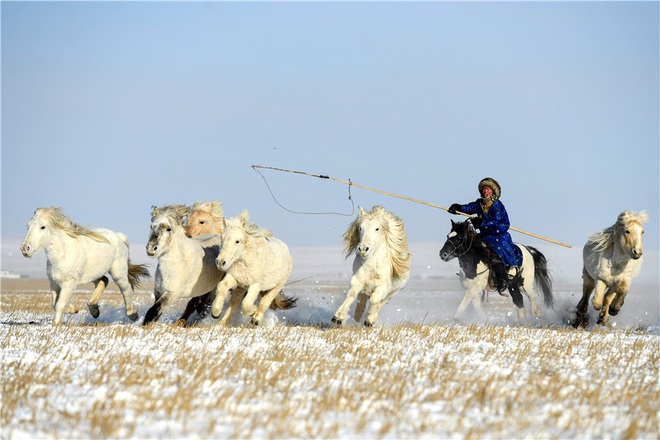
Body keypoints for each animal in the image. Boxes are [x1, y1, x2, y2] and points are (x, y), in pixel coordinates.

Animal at [21, 206, 150, 324]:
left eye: (42, 227)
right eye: (28, 226)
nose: (25, 248)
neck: (63, 253)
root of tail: (119, 236)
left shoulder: (69, 284)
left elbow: (59, 304)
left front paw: (56, 324)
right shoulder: (54, 283)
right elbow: (54, 303)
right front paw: (74, 309)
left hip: (118, 273)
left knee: (125, 289)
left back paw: (133, 314)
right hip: (94, 274)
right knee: (103, 281)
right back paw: (94, 310)